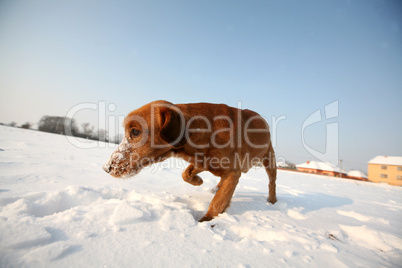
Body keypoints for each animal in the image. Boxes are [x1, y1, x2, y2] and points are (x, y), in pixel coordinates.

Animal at [103, 100, 276, 222]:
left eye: (135, 131)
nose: (106, 168)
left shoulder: (233, 173)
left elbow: (217, 203)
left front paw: (205, 222)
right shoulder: (201, 162)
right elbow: (185, 174)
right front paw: (198, 181)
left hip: (270, 159)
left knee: (271, 182)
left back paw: (272, 200)